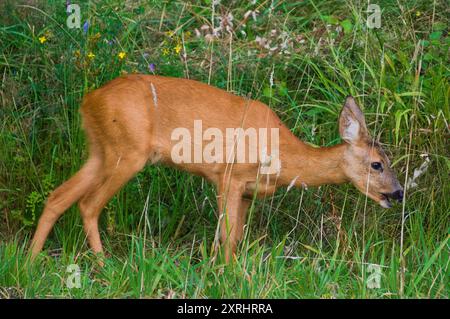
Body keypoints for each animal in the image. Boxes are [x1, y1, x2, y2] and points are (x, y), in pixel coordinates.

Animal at [31, 74, 404, 262]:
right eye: (377, 164)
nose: (398, 192)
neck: (281, 154)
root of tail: (89, 99)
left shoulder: (249, 192)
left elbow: (236, 237)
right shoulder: (228, 175)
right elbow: (226, 236)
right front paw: (227, 274)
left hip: (100, 150)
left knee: (59, 196)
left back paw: (31, 261)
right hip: (128, 152)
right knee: (88, 203)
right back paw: (103, 264)